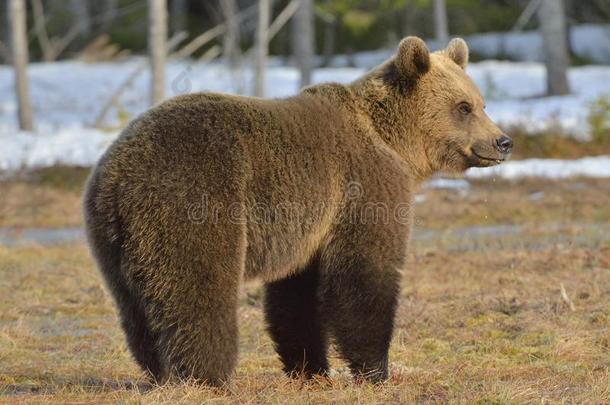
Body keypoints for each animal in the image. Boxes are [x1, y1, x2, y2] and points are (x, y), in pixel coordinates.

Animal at [81, 37, 508, 386]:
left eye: (481, 102)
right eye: (464, 107)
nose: (503, 141)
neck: (395, 142)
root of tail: (117, 174)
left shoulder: (312, 223)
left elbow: (297, 294)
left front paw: (310, 367)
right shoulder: (363, 187)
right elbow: (366, 274)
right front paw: (375, 370)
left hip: (114, 237)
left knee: (134, 306)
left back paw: (159, 371)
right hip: (195, 200)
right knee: (199, 289)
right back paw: (208, 376)